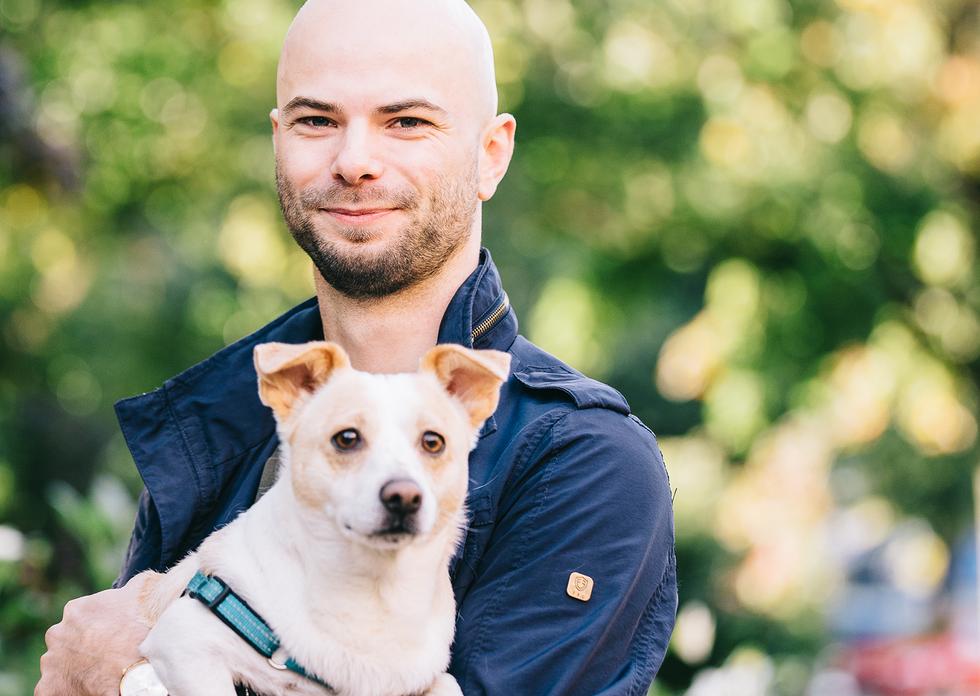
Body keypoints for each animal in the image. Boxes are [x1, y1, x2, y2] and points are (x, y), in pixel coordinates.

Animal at [133, 340, 510, 695]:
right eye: (347, 438)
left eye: (433, 442)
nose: (404, 497)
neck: (371, 588)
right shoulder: (183, 644)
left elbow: (449, 684)